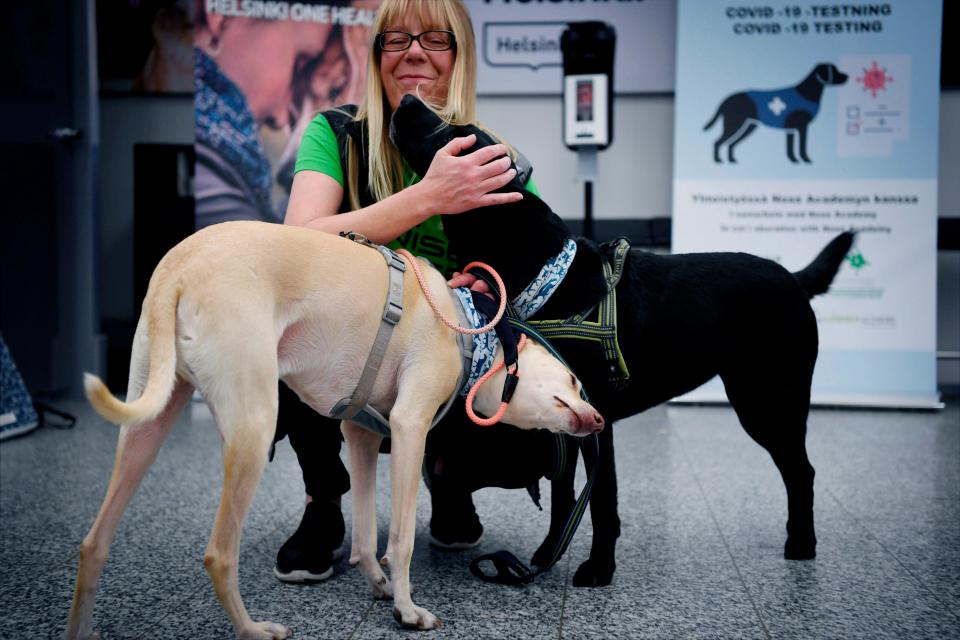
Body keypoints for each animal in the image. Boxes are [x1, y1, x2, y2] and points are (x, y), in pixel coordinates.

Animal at [65, 221, 600, 640]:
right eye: (575, 382)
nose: (597, 420)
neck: (469, 324)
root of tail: (178, 267)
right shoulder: (409, 427)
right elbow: (400, 540)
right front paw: (407, 610)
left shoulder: (361, 435)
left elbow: (364, 538)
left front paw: (379, 586)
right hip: (254, 429)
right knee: (219, 554)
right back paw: (253, 630)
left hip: (147, 426)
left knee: (94, 544)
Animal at [390, 92, 856, 588]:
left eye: (454, 134)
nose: (407, 98)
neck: (548, 274)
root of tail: (795, 278)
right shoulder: (562, 418)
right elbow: (563, 496)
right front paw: (548, 554)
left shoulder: (598, 419)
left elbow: (601, 501)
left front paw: (599, 568)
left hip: (768, 401)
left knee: (801, 470)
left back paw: (801, 544)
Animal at [704, 62, 848, 164]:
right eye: (834, 70)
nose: (847, 76)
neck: (806, 93)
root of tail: (726, 99)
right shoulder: (802, 127)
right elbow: (802, 146)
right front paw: (805, 159)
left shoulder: (791, 129)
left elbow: (790, 147)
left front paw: (794, 160)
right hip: (734, 124)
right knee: (718, 142)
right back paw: (719, 160)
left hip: (749, 126)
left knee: (730, 143)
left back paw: (731, 160)